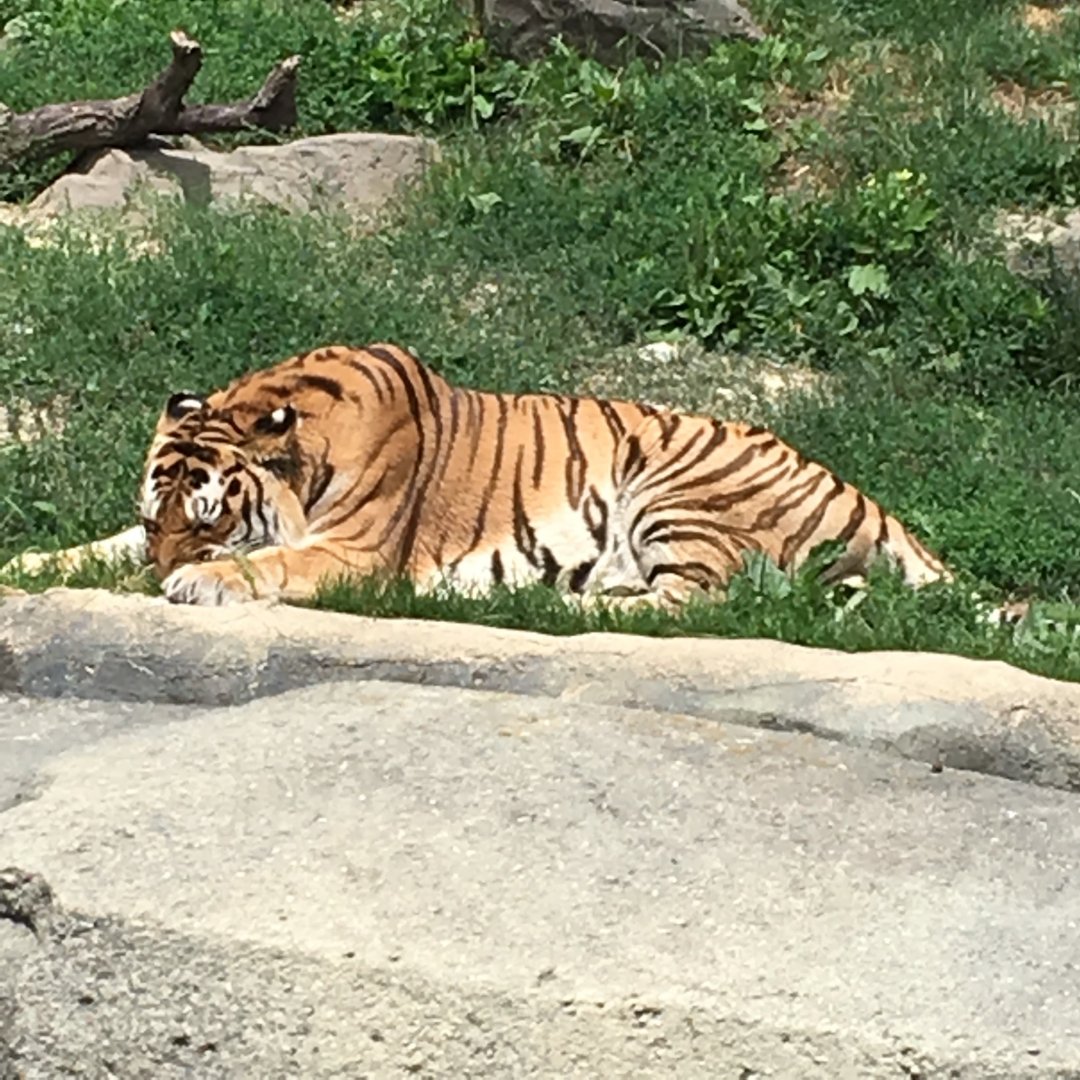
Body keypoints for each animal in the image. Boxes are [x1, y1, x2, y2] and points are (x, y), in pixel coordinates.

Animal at [4, 341, 952, 609]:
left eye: (209, 519)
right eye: (158, 516)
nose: (159, 568)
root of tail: (868, 501)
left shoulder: (355, 555)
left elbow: (266, 563)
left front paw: (198, 583)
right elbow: (91, 544)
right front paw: (28, 564)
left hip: (673, 490)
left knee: (702, 603)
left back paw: (561, 606)